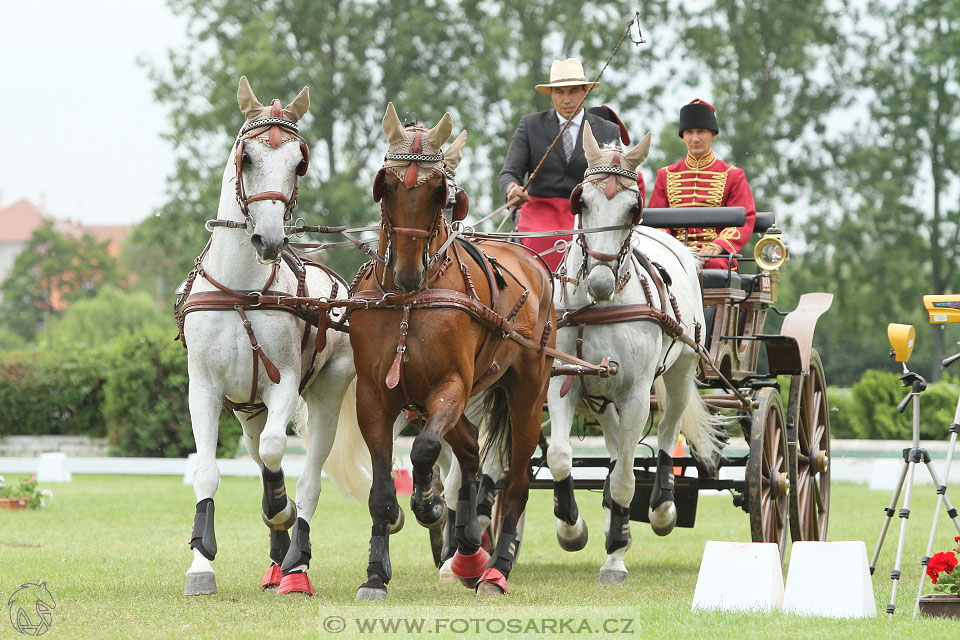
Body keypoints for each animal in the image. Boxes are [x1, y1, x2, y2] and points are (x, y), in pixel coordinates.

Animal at [177, 77, 356, 596]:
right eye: (247, 158)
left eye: (299, 161)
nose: (270, 240)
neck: (241, 290)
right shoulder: (205, 388)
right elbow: (208, 471)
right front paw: (201, 564)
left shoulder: (286, 383)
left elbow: (280, 455)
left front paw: (281, 509)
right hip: (247, 410)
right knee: (258, 453)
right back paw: (277, 560)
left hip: (328, 393)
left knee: (307, 476)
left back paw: (296, 563)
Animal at [348, 102, 552, 596]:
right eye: (387, 186)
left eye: (439, 191)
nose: (406, 272)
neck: (409, 301)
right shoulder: (374, 396)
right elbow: (381, 489)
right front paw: (376, 574)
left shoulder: (451, 385)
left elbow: (423, 450)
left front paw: (428, 503)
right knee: (471, 451)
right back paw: (467, 545)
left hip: (528, 391)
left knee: (516, 483)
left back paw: (496, 567)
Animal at [544, 120, 724, 584]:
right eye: (582, 202)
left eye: (632, 208)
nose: (600, 283)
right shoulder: (563, 381)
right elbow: (559, 457)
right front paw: (572, 528)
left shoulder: (637, 393)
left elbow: (627, 478)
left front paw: (615, 557)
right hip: (602, 395)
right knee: (613, 447)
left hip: (679, 372)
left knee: (665, 433)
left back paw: (660, 508)